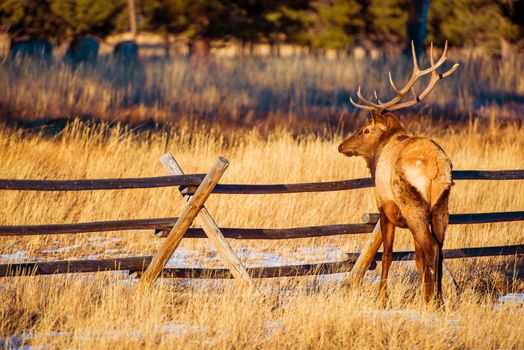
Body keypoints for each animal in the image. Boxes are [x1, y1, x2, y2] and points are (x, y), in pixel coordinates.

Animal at [340, 40, 458, 304]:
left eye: (365, 129)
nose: (342, 145)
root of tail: (435, 167)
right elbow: (416, 258)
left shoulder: (385, 208)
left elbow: (387, 255)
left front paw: (381, 299)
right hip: (441, 204)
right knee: (439, 248)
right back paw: (439, 299)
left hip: (412, 202)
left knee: (430, 247)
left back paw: (430, 300)